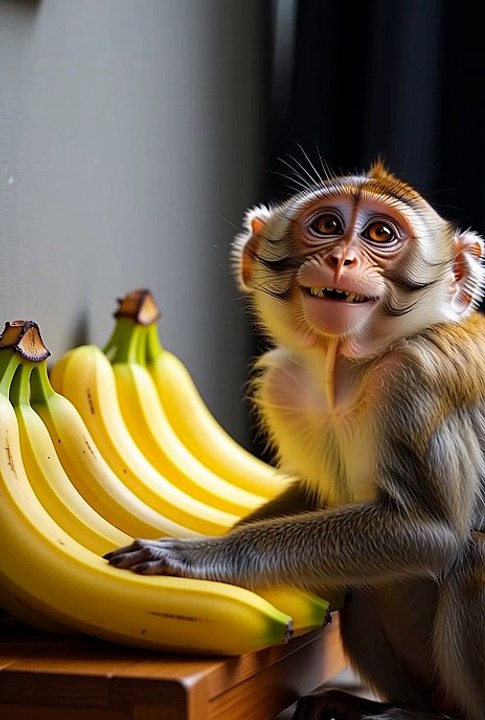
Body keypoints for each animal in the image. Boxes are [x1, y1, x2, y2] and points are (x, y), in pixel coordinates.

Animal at [105, 161, 485, 720]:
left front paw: (206, 556)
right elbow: (320, 492)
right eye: (327, 225)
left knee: (471, 558)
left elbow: (428, 530)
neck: (345, 371)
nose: (341, 258)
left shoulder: (421, 376)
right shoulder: (285, 386)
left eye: (380, 234)